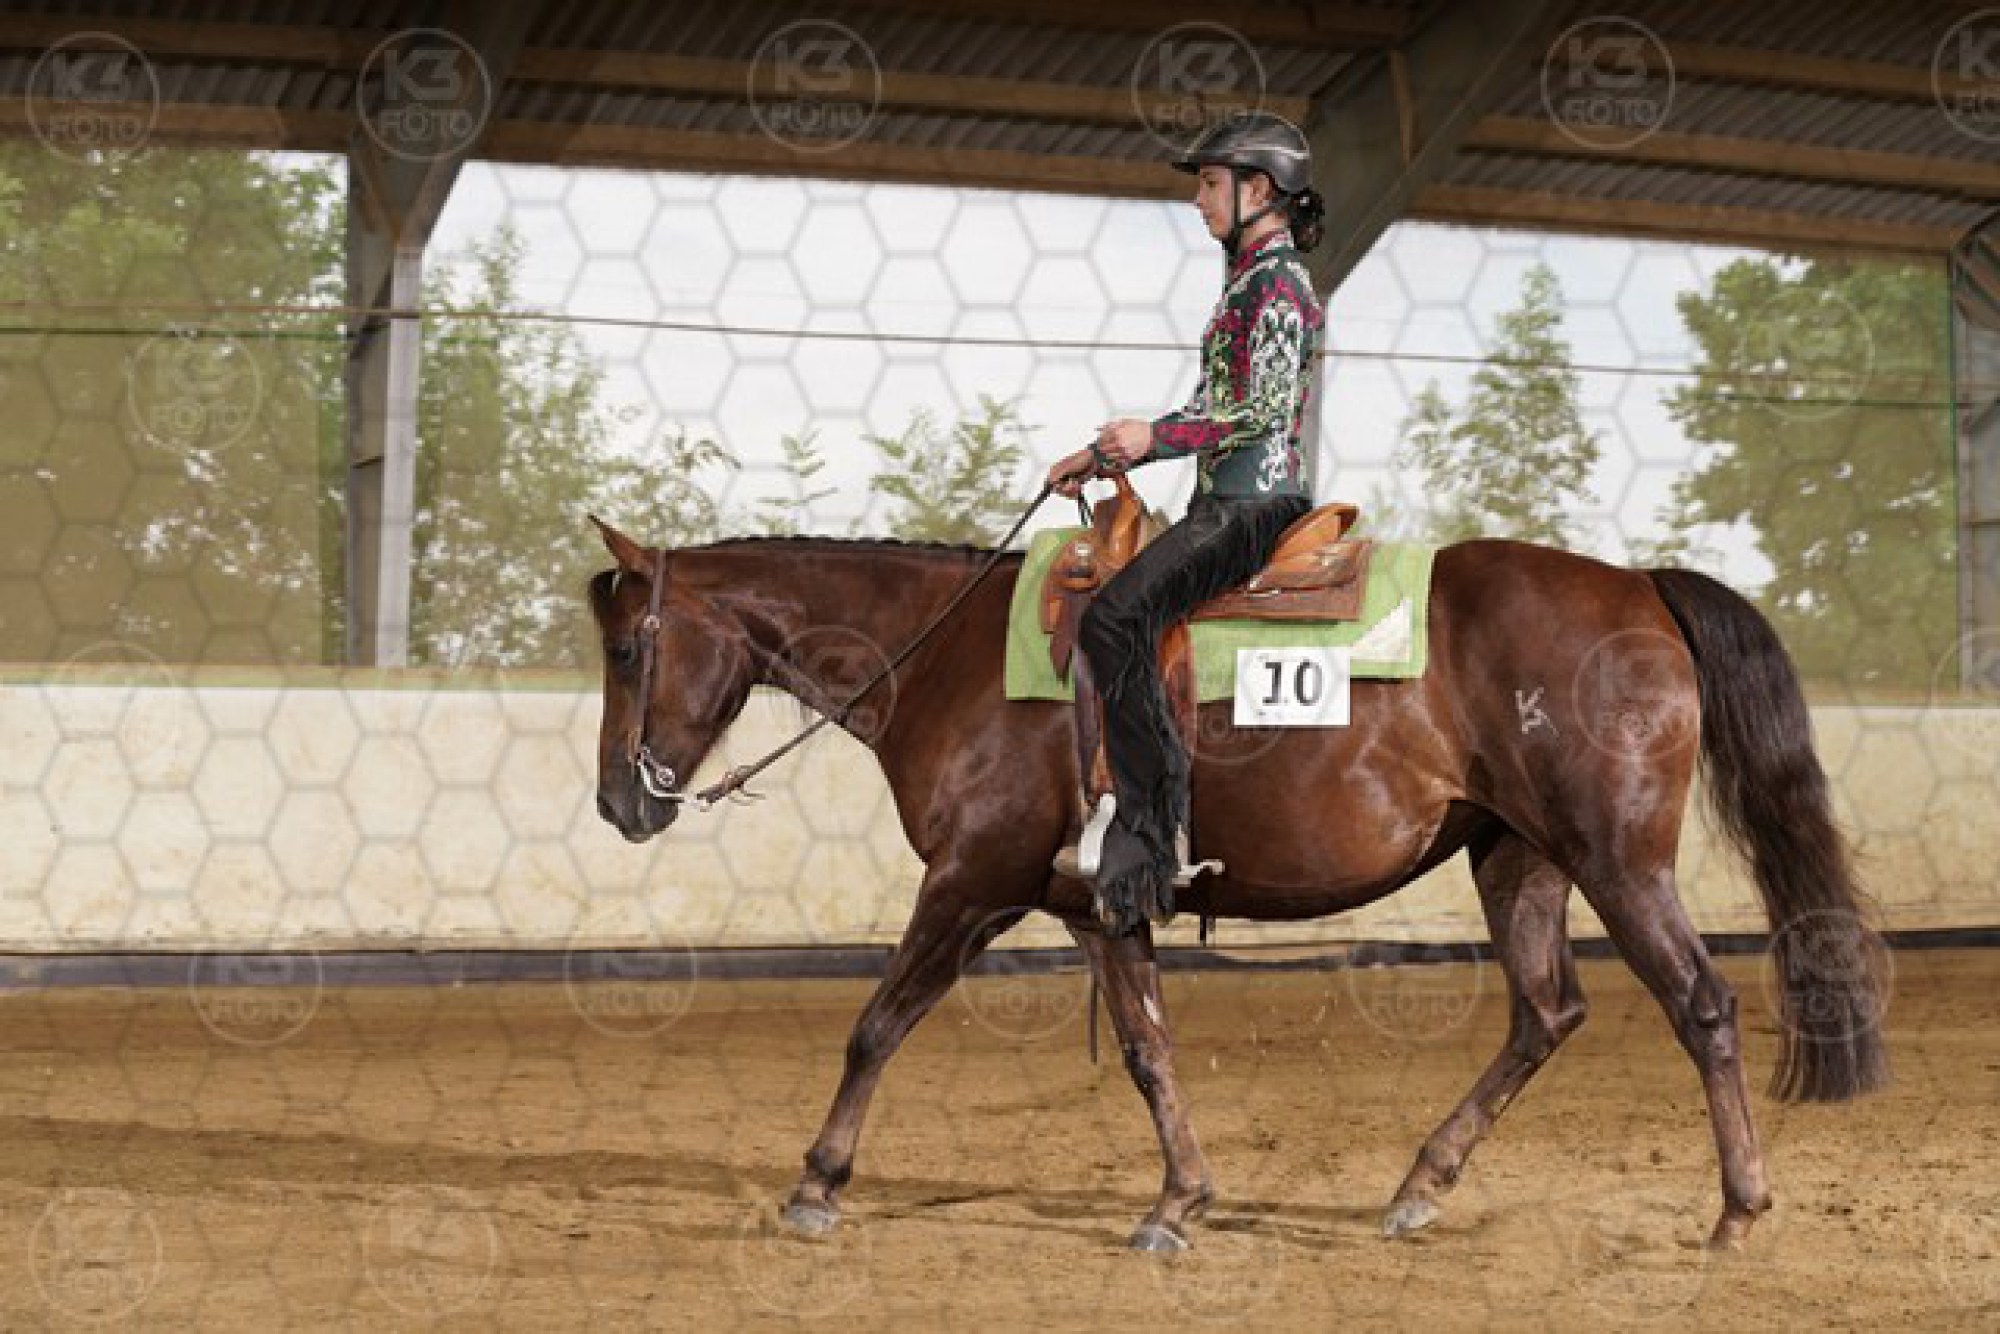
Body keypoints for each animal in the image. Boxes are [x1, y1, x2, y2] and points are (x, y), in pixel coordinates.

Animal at [584, 515, 1888, 1254]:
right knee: (1544, 1011)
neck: (948, 655)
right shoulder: (1094, 907)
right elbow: (1148, 1048)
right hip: (1513, 854)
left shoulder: (971, 883)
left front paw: (816, 1182)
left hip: (1616, 858)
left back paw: (1735, 1209)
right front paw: (1179, 1201)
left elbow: (875, 1022)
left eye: (629, 643)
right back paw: (1418, 1186)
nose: (618, 801)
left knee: (1699, 1005)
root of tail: (1638, 585)